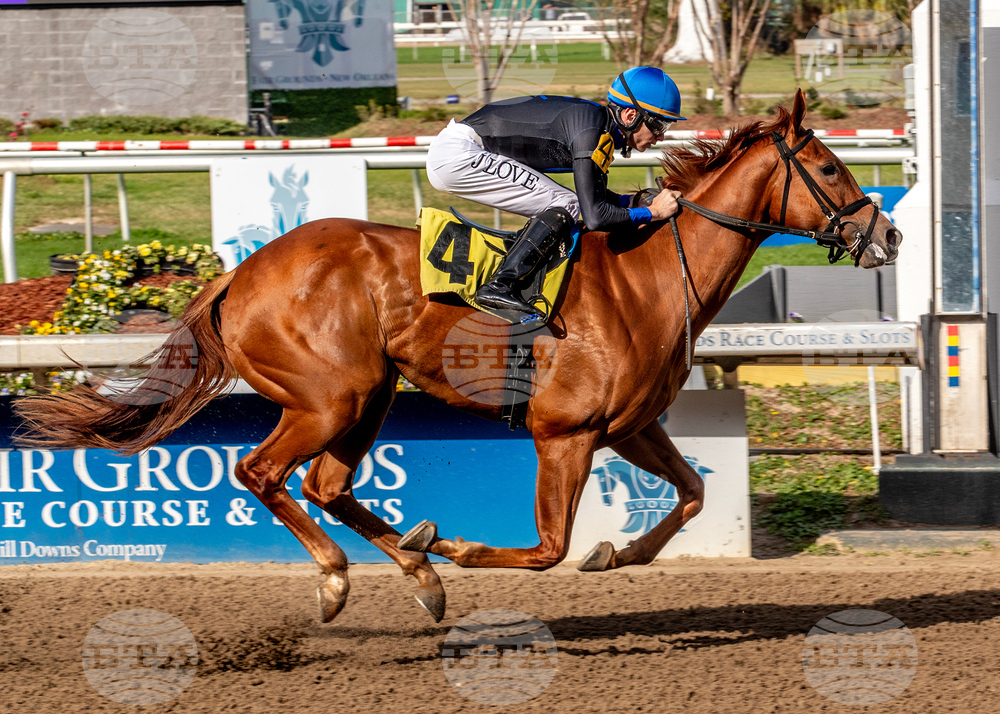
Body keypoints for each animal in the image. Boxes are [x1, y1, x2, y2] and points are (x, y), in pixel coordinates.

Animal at [15, 91, 901, 625]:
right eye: (828, 167)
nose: (887, 233)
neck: (646, 278)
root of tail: (241, 273)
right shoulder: (563, 433)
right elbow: (547, 548)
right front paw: (462, 548)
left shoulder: (628, 426)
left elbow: (689, 496)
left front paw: (617, 552)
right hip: (329, 396)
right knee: (262, 473)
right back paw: (348, 575)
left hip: (367, 395)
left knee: (327, 484)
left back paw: (417, 574)